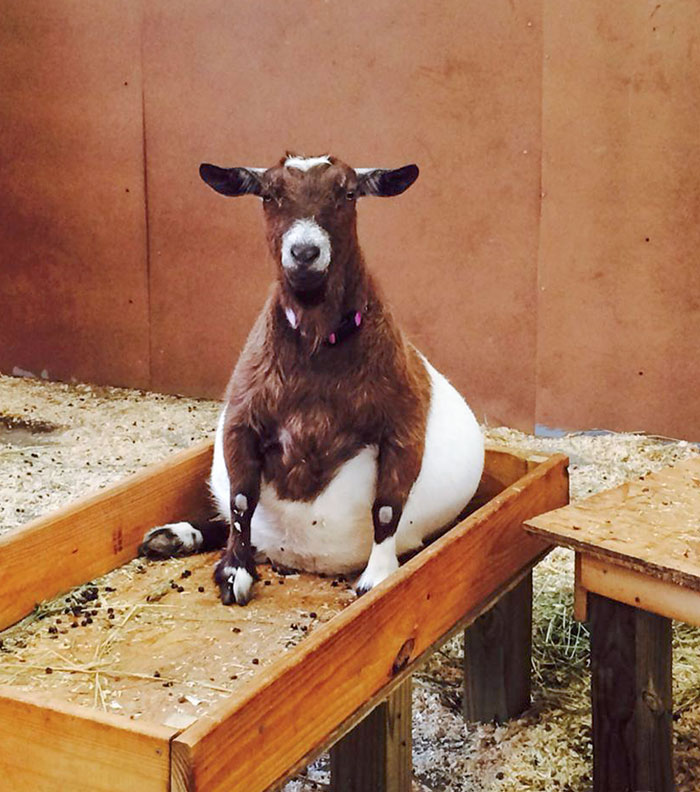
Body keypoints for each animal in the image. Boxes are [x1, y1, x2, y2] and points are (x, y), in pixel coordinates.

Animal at [140, 153, 484, 605]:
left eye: (349, 193)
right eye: (269, 194)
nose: (305, 251)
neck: (317, 347)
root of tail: (296, 555)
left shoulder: (403, 425)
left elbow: (387, 508)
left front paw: (377, 578)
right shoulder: (242, 418)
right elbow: (240, 501)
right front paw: (234, 573)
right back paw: (174, 536)